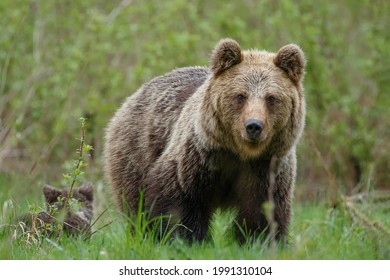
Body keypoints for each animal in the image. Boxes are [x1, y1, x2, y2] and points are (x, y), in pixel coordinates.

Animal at [103, 38, 304, 242]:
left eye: (271, 98)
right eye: (240, 96)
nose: (254, 126)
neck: (239, 153)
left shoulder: (266, 169)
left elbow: (262, 213)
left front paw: (258, 239)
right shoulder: (198, 158)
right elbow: (179, 202)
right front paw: (185, 238)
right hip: (136, 151)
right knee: (135, 204)